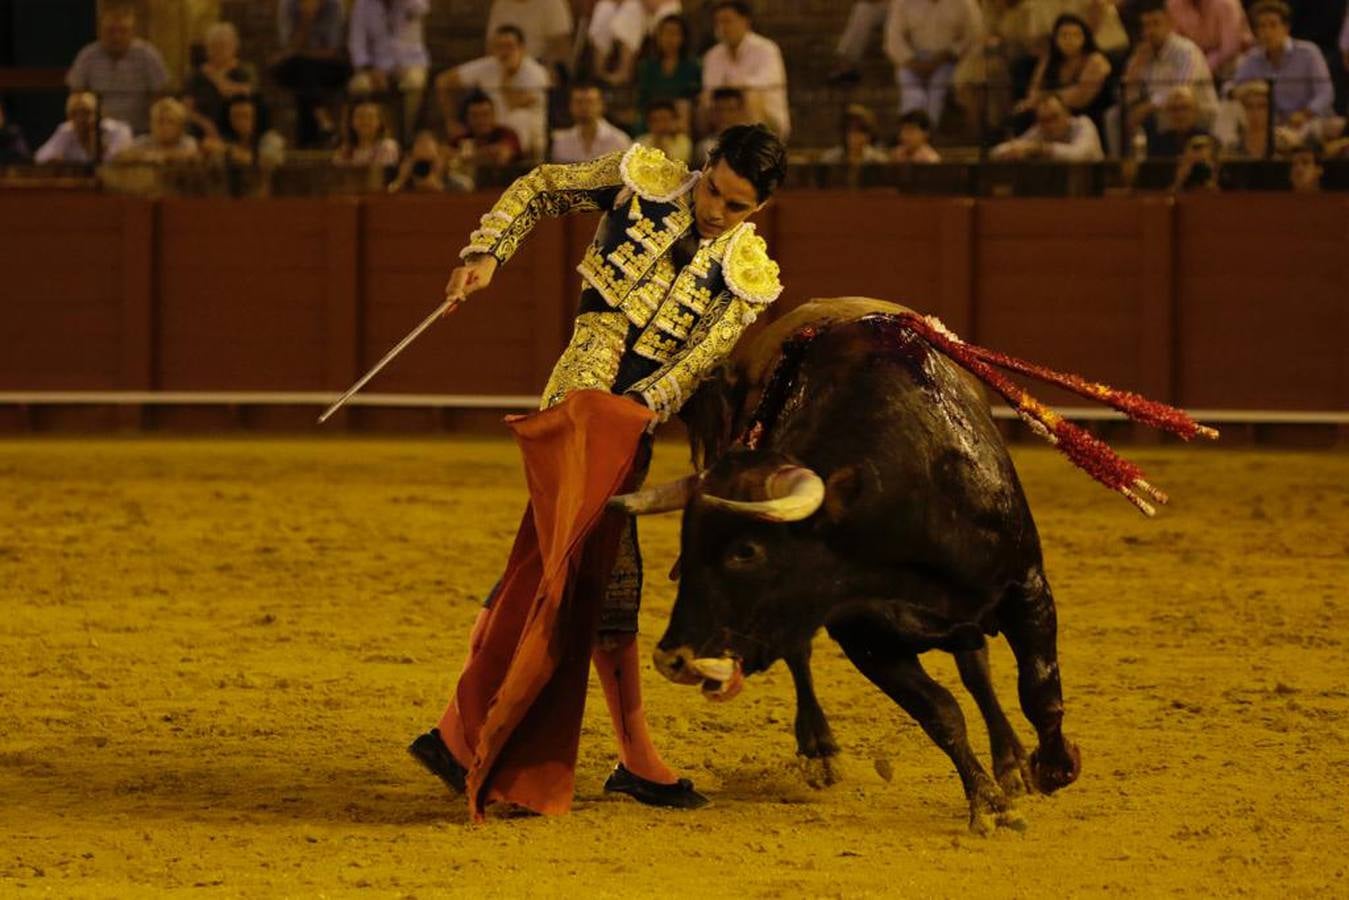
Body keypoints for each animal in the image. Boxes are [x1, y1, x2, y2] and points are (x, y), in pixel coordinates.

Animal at [617, 299, 1079, 836]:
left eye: (746, 551)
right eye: (687, 543)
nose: (670, 658)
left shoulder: (1028, 585)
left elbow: (1039, 690)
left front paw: (1053, 768)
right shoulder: (863, 636)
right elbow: (940, 713)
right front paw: (988, 803)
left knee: (977, 671)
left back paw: (1012, 760)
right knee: (799, 653)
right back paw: (819, 750)